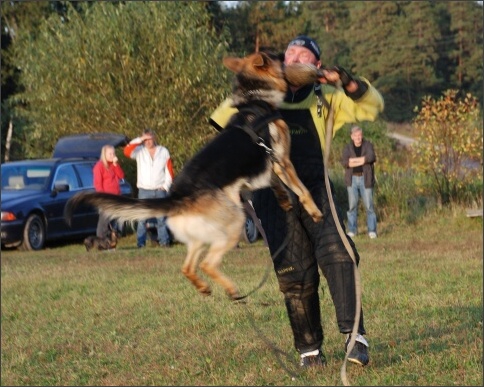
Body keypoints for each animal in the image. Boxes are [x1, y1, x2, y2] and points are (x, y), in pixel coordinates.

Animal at [64, 50, 322, 300]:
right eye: (275, 57)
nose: (285, 56)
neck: (254, 97)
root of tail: (176, 197)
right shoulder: (284, 161)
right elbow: (302, 190)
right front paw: (315, 211)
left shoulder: (271, 166)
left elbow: (277, 184)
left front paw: (284, 200)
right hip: (234, 222)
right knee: (207, 264)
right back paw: (231, 290)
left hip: (200, 236)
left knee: (187, 268)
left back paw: (204, 287)